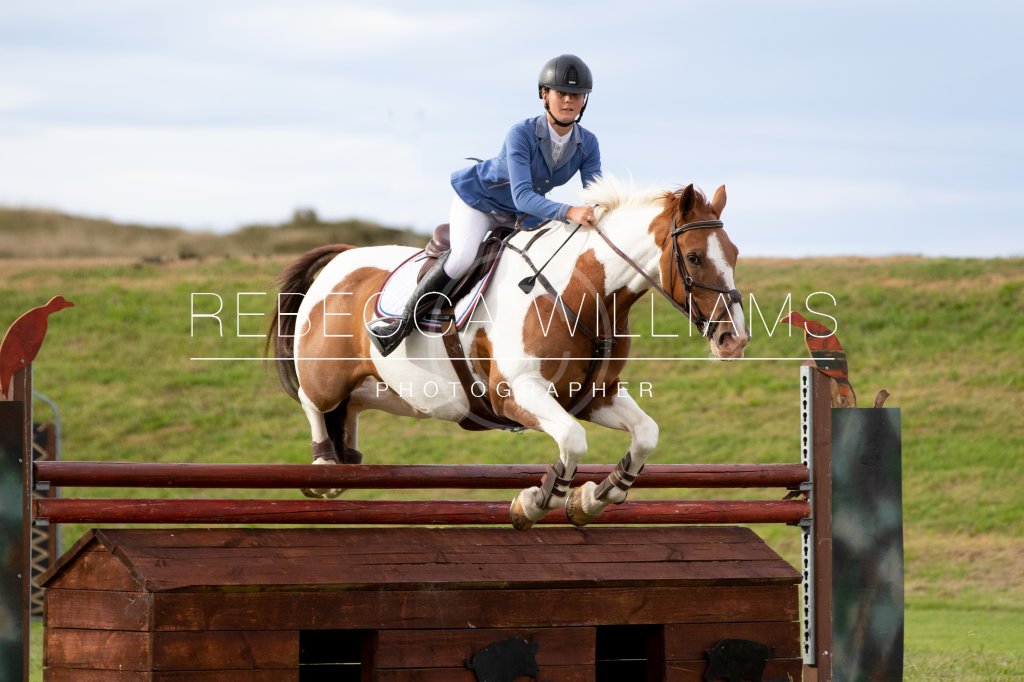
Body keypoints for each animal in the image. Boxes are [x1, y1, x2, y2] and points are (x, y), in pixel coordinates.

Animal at [268, 177, 749, 529]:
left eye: (735, 253)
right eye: (694, 257)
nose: (735, 340)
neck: (583, 293)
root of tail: (341, 258)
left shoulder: (596, 395)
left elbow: (646, 434)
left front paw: (594, 497)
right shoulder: (516, 393)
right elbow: (572, 439)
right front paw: (536, 501)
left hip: (381, 388)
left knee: (350, 409)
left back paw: (346, 460)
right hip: (326, 375)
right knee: (314, 401)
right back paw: (325, 465)